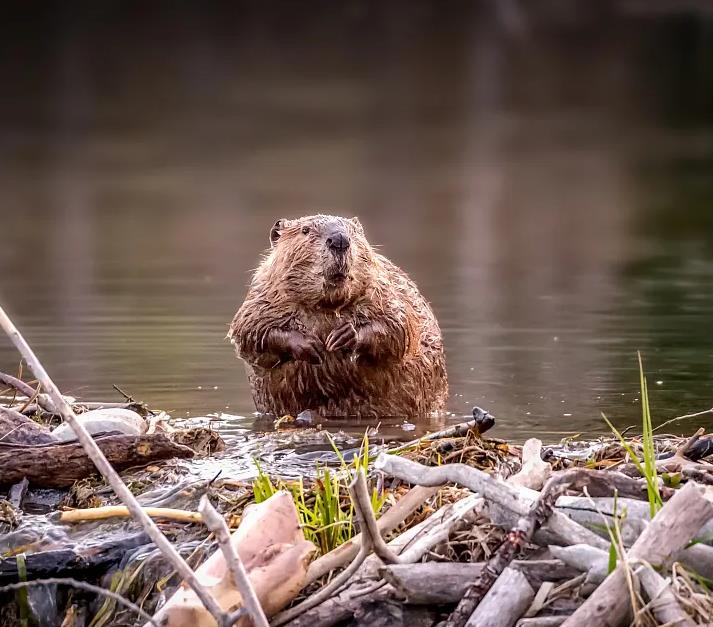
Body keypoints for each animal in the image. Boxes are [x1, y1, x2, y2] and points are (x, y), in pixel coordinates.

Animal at [228, 215, 448, 418]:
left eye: (353, 231)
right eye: (305, 230)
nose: (339, 239)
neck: (327, 305)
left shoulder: (385, 289)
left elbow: (399, 326)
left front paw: (343, 336)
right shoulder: (263, 296)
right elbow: (249, 332)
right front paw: (310, 345)